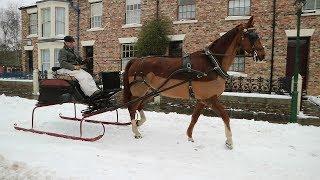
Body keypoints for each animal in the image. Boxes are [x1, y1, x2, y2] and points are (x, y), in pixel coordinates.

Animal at [122, 16, 264, 149]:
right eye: (252, 36)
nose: (262, 54)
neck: (212, 63)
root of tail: (136, 60)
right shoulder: (210, 99)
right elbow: (225, 116)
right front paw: (229, 142)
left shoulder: (202, 100)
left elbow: (195, 118)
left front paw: (189, 136)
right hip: (139, 92)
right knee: (132, 108)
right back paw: (136, 131)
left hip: (150, 91)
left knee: (139, 106)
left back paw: (139, 123)